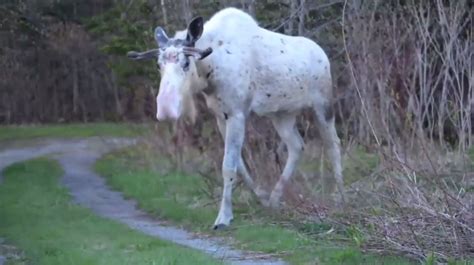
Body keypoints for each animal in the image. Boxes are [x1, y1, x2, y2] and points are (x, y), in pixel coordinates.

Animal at [129, 7, 344, 228]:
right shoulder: (220, 115)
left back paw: (340, 197)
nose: (165, 108)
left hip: (323, 105)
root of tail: (323, 55)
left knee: (333, 144)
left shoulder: (237, 113)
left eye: (186, 62)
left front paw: (224, 217)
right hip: (282, 114)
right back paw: (275, 198)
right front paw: (261, 197)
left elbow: (228, 166)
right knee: (297, 145)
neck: (210, 69)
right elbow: (239, 164)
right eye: (158, 65)